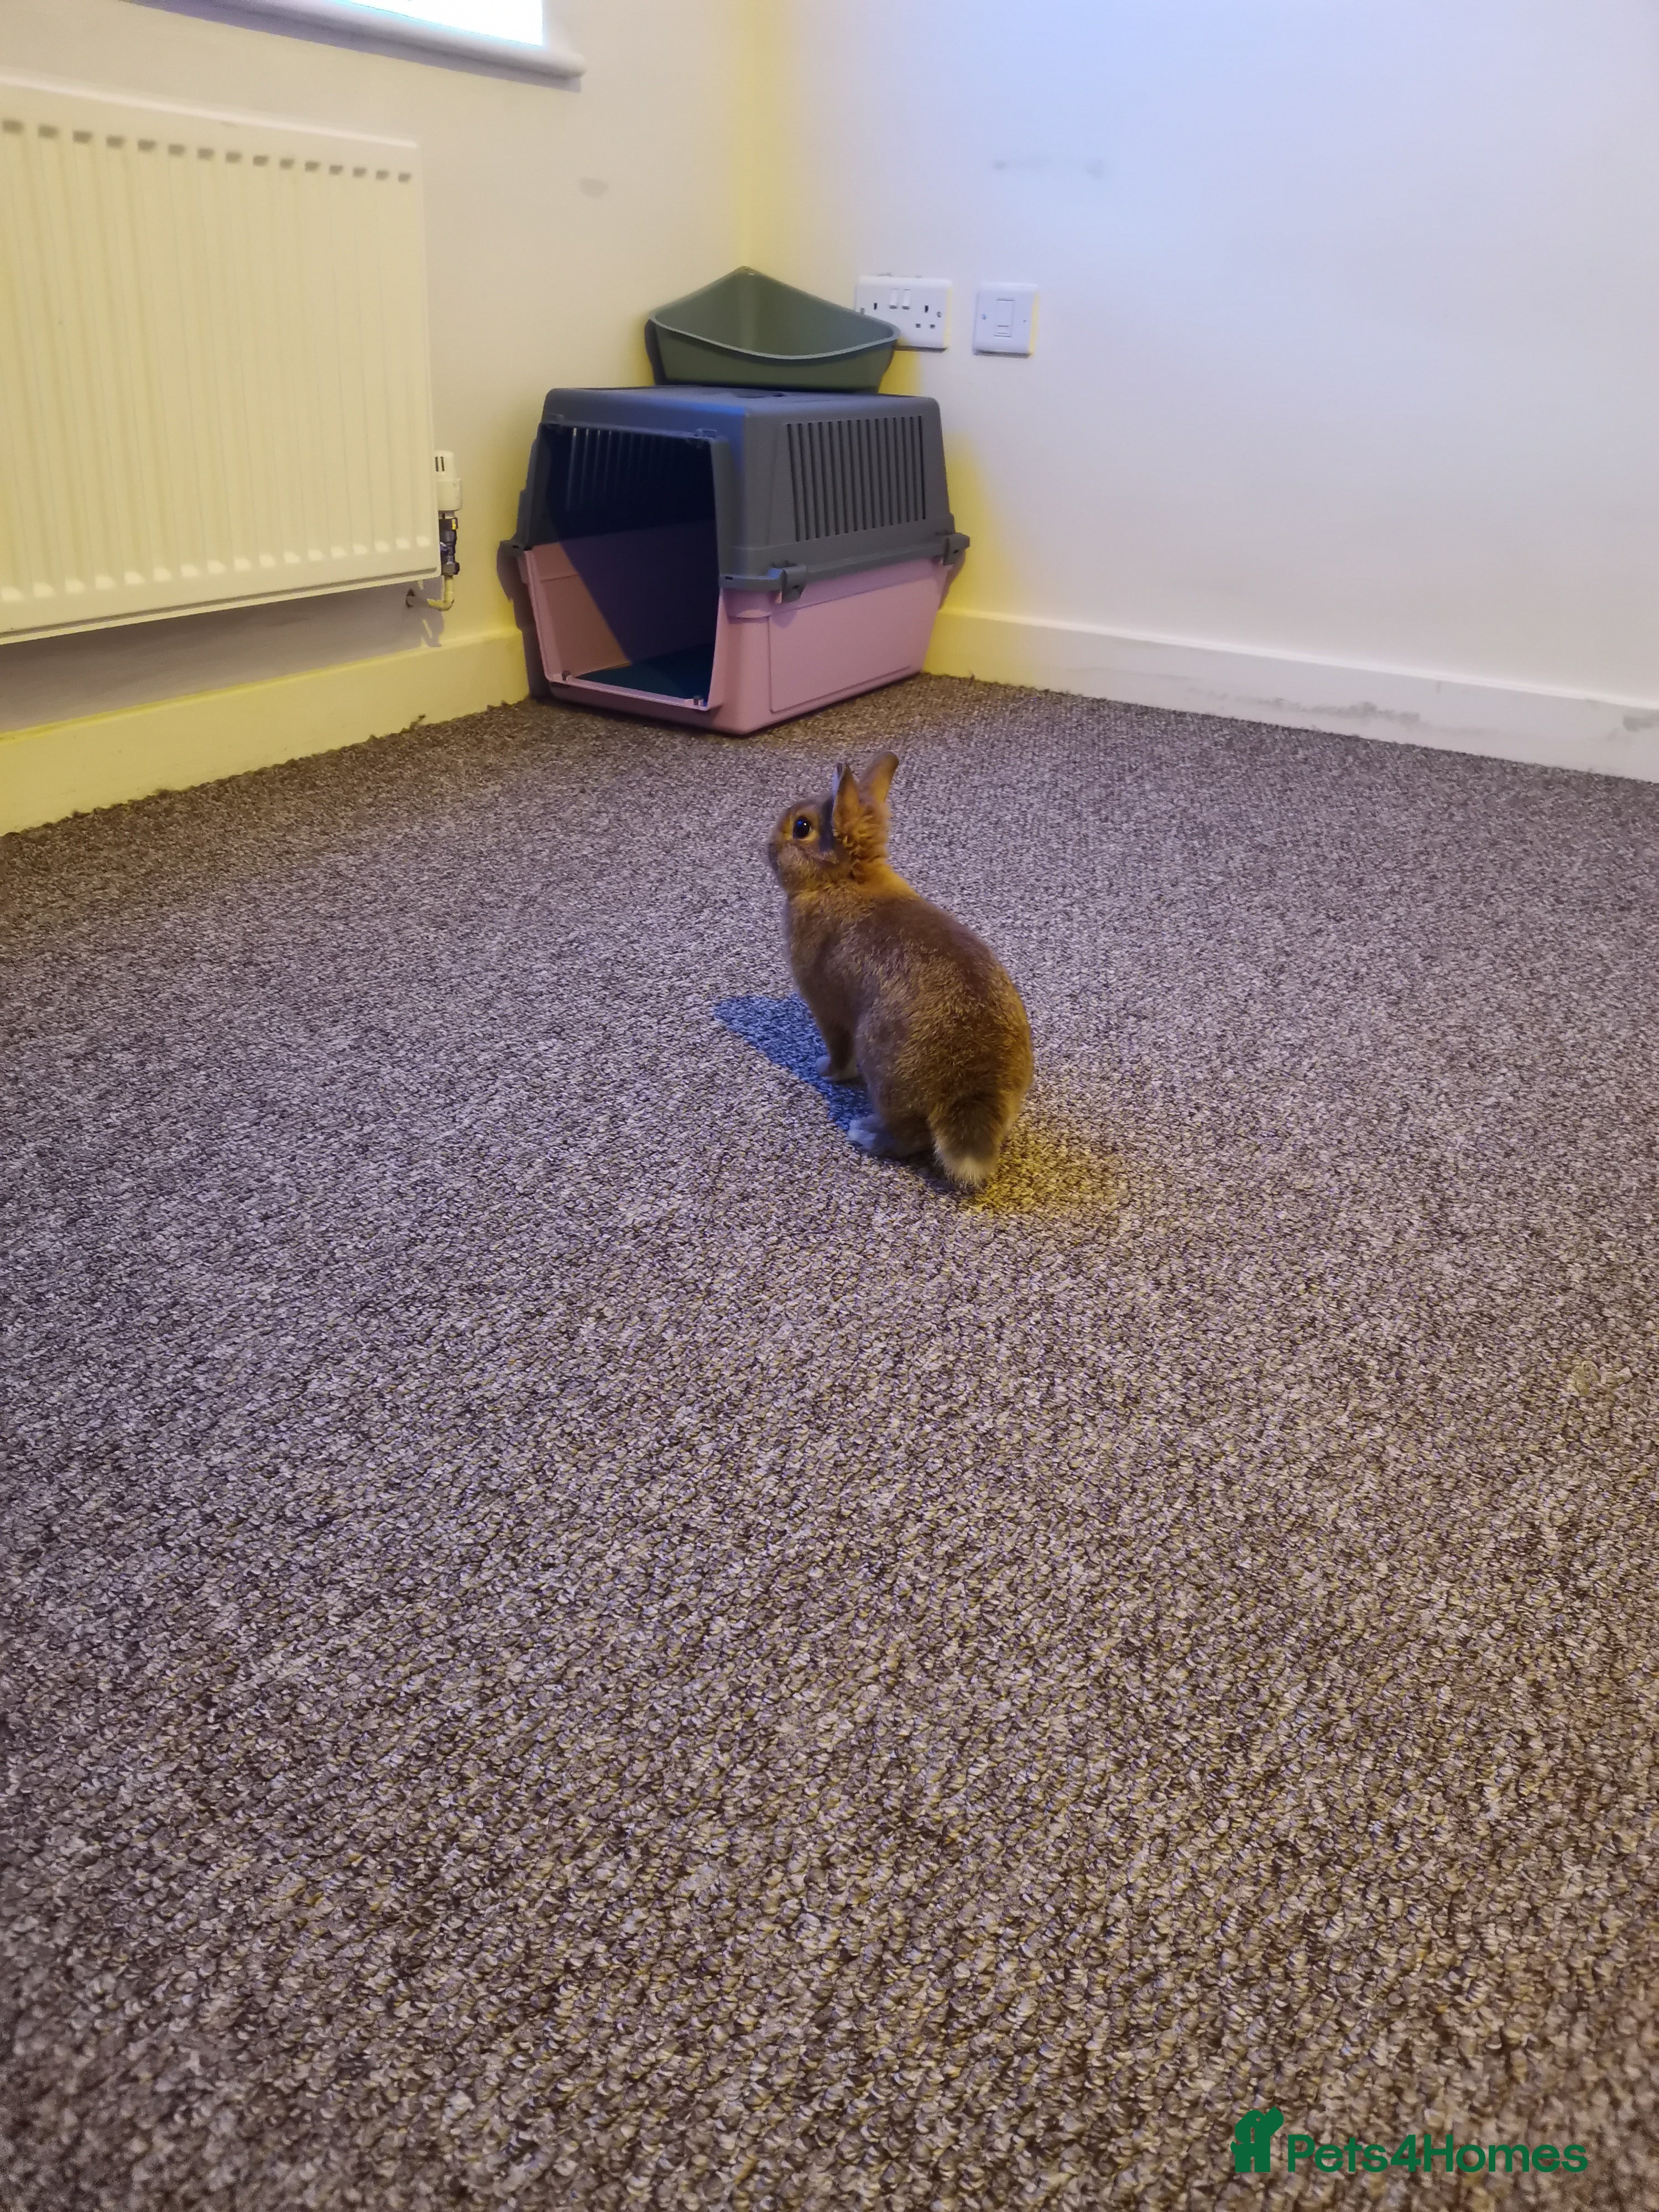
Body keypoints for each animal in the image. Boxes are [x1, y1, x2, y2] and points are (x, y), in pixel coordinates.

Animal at [767, 752, 1033, 1190]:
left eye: (802, 827)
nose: (767, 846)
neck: (842, 880)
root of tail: (972, 1087)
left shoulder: (827, 1008)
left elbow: (838, 1049)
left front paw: (826, 1072)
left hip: (885, 1069)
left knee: (909, 1137)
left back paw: (865, 1133)